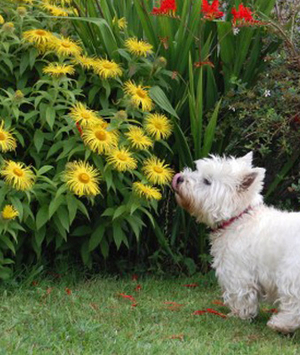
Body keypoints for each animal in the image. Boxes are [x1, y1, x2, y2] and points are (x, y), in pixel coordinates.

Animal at [172, 152, 300, 334]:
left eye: (207, 181)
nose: (179, 178)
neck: (238, 219)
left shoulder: (237, 271)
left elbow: (240, 295)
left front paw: (238, 315)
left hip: (290, 273)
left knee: (293, 304)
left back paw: (280, 324)